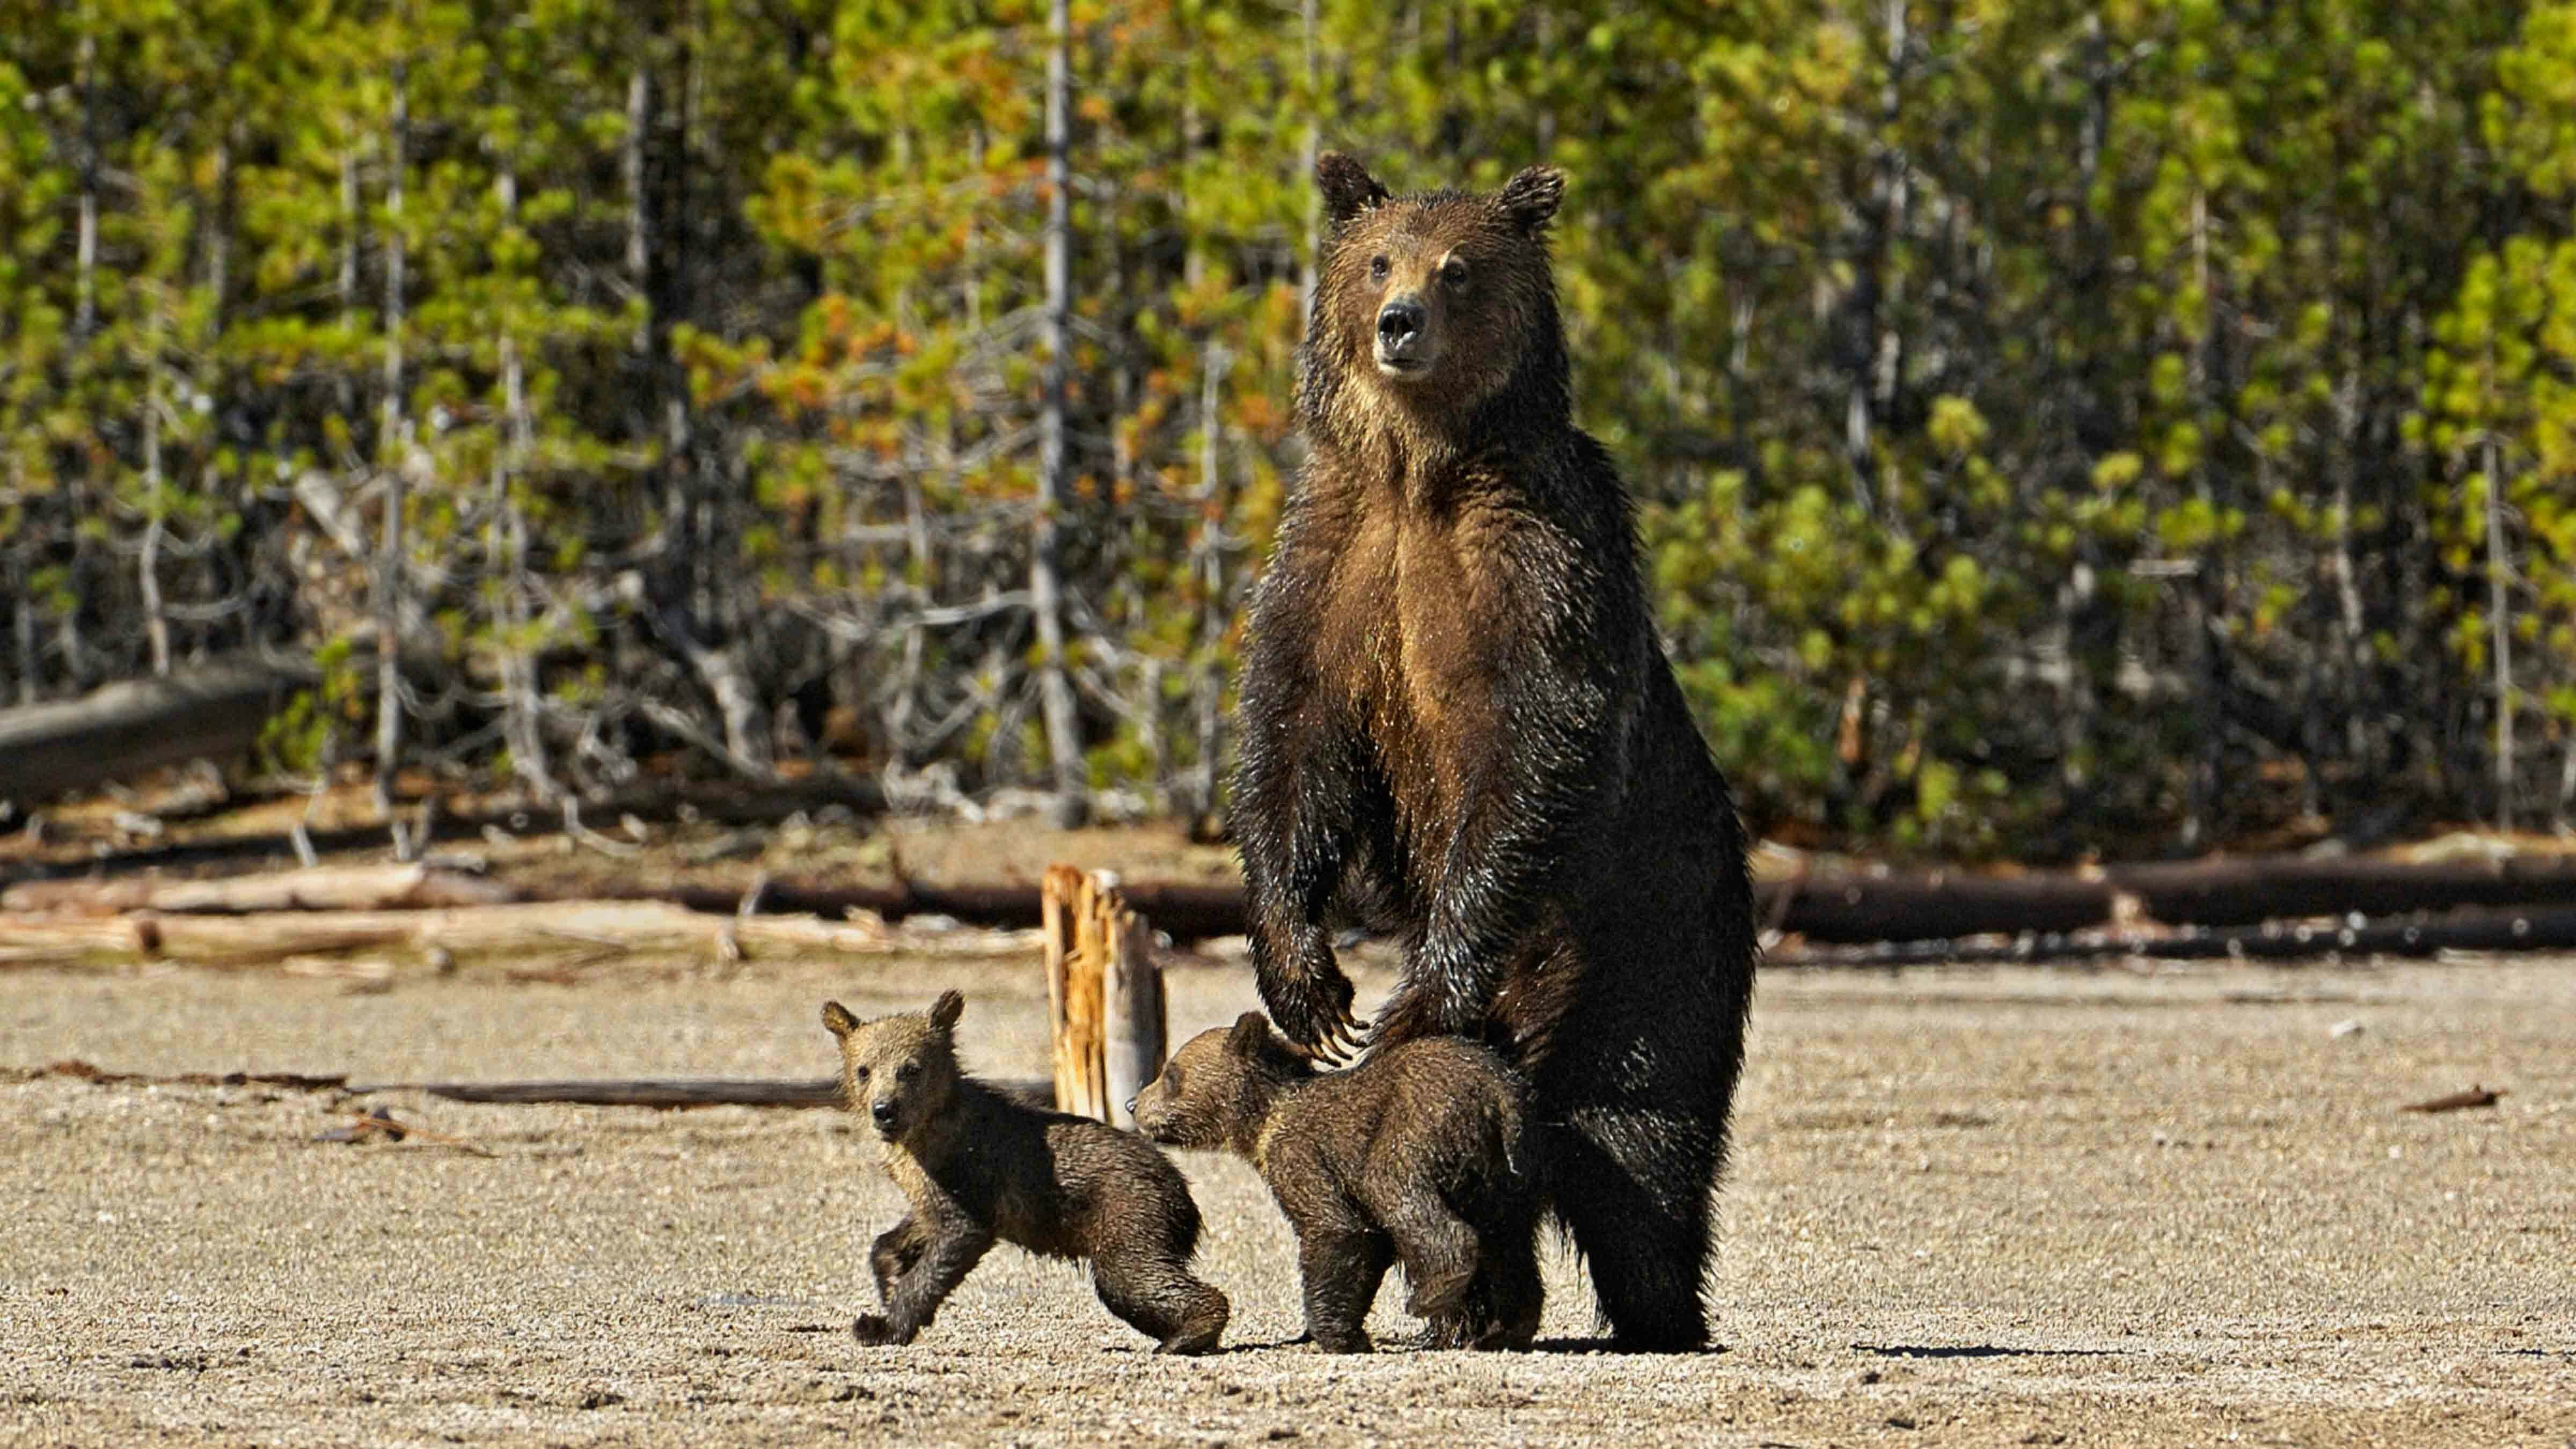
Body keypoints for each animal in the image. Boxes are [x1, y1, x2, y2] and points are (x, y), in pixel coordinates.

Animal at [819, 989, 1229, 1354]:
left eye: (910, 1069)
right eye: (864, 1070)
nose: (884, 1110)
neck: (923, 1136)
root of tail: (1184, 1193)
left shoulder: (968, 1172)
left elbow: (956, 1238)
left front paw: (881, 1326)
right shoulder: (929, 1185)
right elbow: (905, 1233)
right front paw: (890, 1279)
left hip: (1128, 1211)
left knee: (1132, 1277)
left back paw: (1189, 1334)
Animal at [1129, 1011, 1543, 1354]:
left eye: (1170, 1073)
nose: (1133, 1104)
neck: (1261, 1125)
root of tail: (1498, 1091)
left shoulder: (1301, 1156)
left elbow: (1335, 1229)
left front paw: (1334, 1335)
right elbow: (1369, 1245)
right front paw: (1346, 1331)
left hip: (1420, 1126)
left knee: (1398, 1190)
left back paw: (1431, 1292)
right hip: (1502, 1172)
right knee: (1510, 1244)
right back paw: (1506, 1330)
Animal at [1228, 152, 1759, 1351]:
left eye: (1458, 269)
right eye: (1379, 259)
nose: (1399, 323)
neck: (1422, 468)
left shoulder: (1539, 560)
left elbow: (1535, 745)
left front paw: (1406, 999)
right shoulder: (1331, 561)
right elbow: (1295, 741)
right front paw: (1310, 987)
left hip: (1653, 943)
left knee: (1639, 1147)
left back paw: (1658, 1315)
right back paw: (1480, 1312)